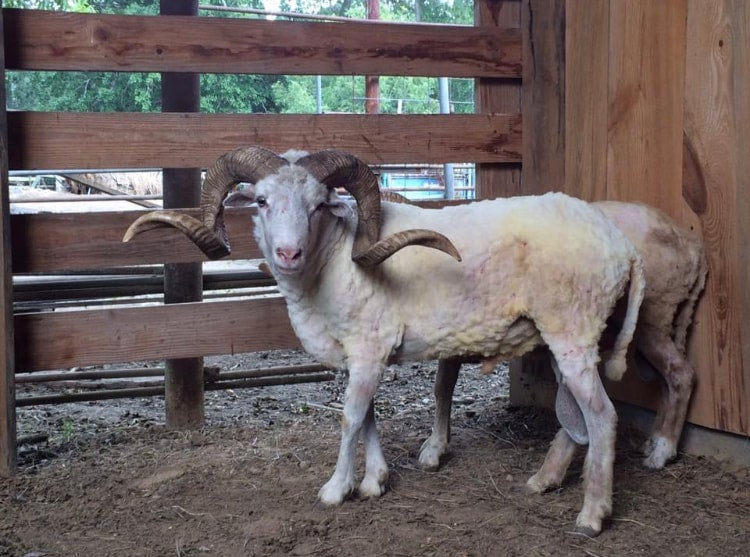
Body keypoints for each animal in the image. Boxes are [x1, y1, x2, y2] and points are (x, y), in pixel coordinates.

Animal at [123, 146, 646, 537]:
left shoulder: (370, 347)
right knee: (575, 417)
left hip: (573, 330)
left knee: (602, 417)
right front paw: (375, 481)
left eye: (319, 204)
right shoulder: (361, 356)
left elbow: (350, 418)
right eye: (262, 201)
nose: (288, 253)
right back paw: (544, 481)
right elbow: (369, 417)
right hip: (565, 337)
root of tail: (622, 246)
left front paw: (336, 489)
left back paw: (592, 515)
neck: (333, 259)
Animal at [418, 200, 707, 481]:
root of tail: (693, 247)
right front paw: (438, 442)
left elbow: (442, 388)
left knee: (681, 374)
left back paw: (663, 450)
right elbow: (443, 386)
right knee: (666, 380)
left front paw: (434, 449)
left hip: (652, 317)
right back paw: (653, 441)